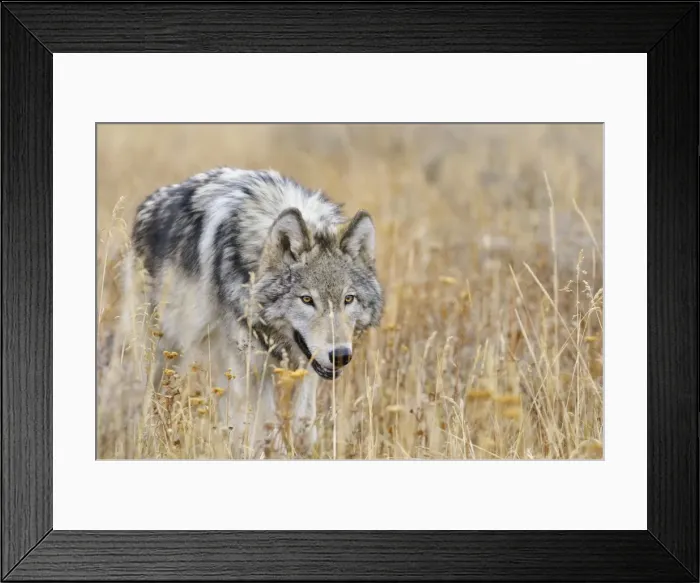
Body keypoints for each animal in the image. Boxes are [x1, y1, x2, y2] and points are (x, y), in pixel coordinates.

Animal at [123, 167, 383, 457]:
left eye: (348, 299)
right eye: (307, 299)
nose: (341, 356)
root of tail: (150, 201)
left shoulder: (305, 366)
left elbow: (304, 423)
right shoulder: (253, 368)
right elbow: (268, 432)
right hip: (166, 353)